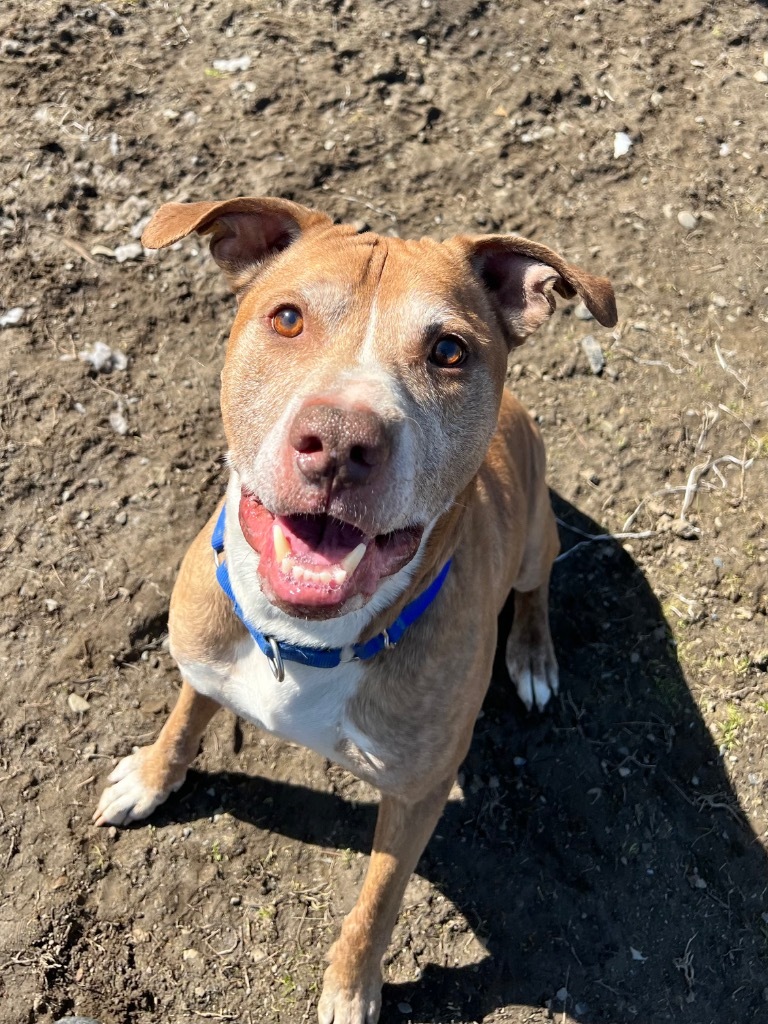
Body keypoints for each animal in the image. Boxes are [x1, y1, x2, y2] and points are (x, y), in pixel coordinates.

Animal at [93, 195, 618, 1019]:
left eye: (448, 351)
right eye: (286, 318)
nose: (340, 441)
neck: (303, 642)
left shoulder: (418, 792)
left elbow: (378, 900)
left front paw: (350, 985)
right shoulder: (205, 659)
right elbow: (184, 719)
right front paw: (150, 778)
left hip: (538, 531)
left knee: (535, 590)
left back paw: (533, 656)